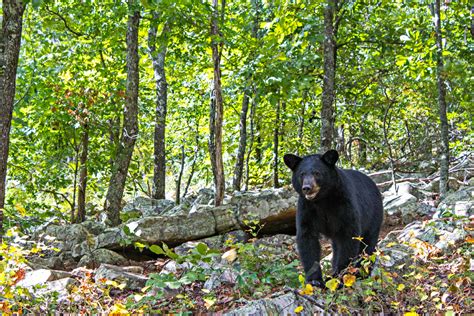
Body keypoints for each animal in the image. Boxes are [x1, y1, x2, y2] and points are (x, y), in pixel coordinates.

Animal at [284, 150, 384, 286]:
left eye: (317, 173)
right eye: (302, 174)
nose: (307, 188)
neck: (322, 200)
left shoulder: (344, 204)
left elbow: (349, 236)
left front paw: (341, 277)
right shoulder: (306, 208)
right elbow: (307, 238)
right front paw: (314, 280)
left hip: (373, 216)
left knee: (367, 244)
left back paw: (362, 272)